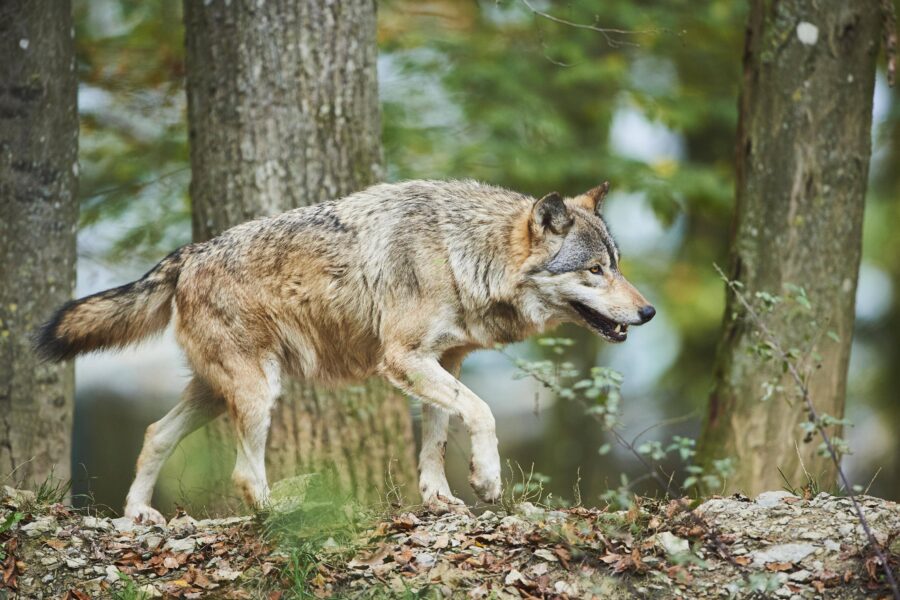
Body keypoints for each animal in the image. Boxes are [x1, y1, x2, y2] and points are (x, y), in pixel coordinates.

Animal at [36, 179, 654, 523]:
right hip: (259, 391)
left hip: (215, 392)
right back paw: (274, 513)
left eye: (616, 265)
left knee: (154, 434)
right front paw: (486, 481)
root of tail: (188, 253)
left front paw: (440, 499)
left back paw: (138, 514)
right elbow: (481, 412)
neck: (459, 256)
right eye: (594, 270)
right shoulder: (404, 360)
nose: (648, 313)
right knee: (242, 475)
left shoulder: (443, 363)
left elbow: (435, 438)